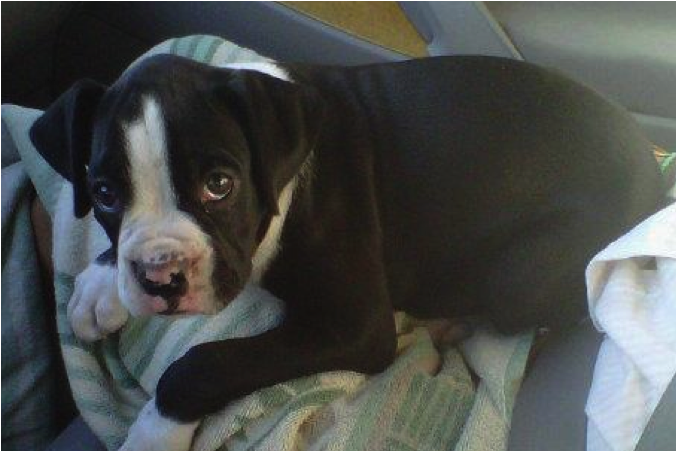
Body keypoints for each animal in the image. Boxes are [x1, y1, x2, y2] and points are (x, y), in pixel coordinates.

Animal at [30, 53, 660, 448]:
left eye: (219, 184)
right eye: (105, 194)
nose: (160, 276)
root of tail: (655, 178)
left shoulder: (353, 327)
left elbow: (204, 363)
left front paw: (154, 432)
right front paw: (99, 286)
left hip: (520, 274)